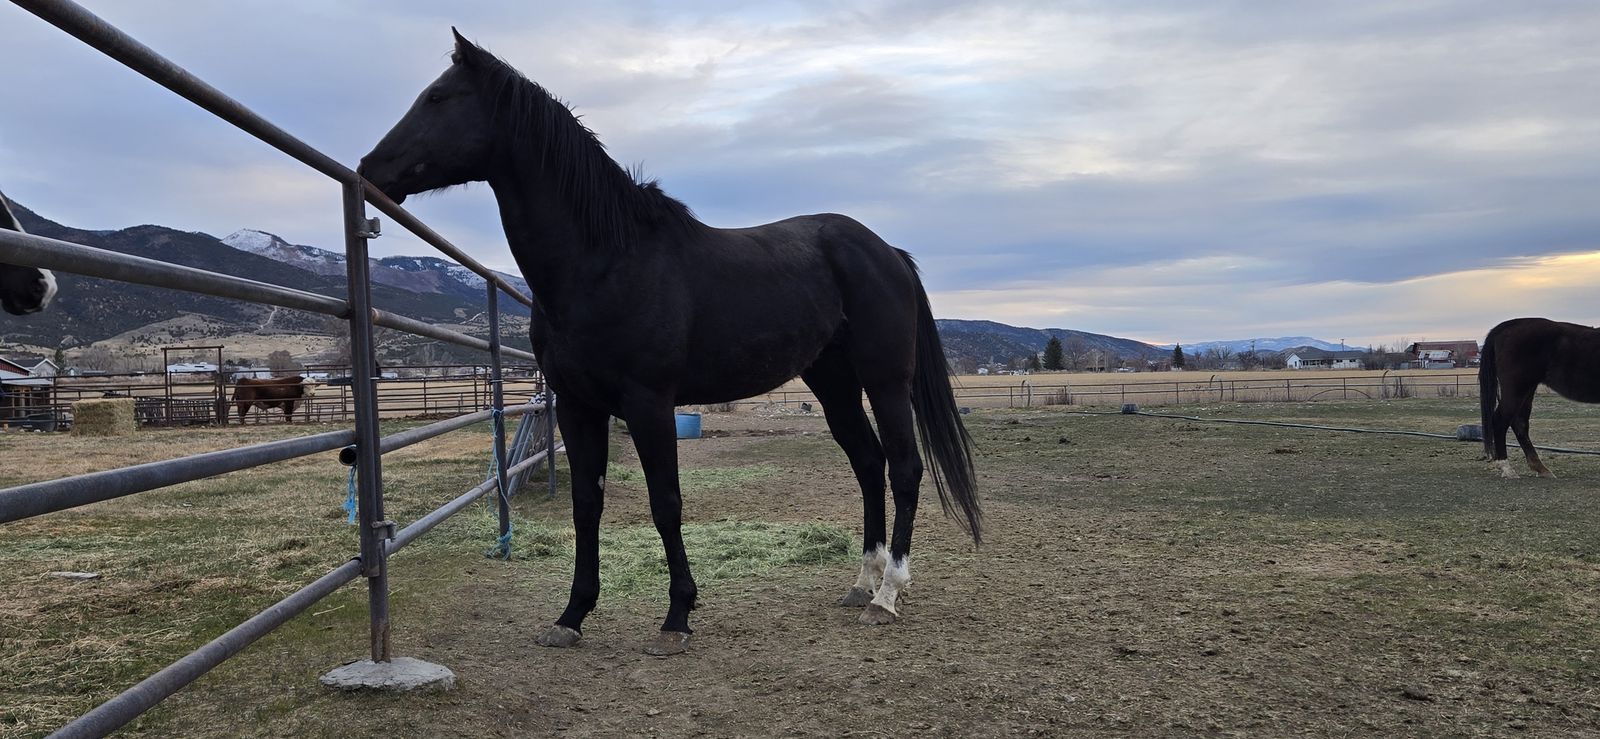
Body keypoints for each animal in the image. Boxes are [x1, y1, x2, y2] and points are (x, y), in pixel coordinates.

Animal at [359, 30, 980, 656]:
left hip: (886, 380)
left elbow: (667, 503)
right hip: (832, 384)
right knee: (868, 462)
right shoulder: (578, 406)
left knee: (904, 467)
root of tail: (886, 251)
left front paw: (677, 616)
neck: (605, 262)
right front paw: (572, 614)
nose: (369, 167)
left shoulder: (649, 403)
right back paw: (862, 582)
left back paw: (888, 594)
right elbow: (587, 504)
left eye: (438, 97)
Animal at [1479, 317, 1600, 478]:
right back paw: (1507, 469)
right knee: (1500, 421)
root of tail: (1508, 326)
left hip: (1527, 390)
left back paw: (1541, 468)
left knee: (1520, 424)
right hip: (1517, 389)